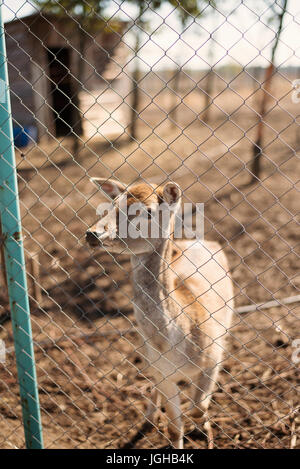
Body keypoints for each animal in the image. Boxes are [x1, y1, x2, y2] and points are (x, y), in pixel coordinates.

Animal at [86, 177, 234, 448]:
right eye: (112, 204)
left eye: (148, 212)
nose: (93, 233)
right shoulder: (163, 371)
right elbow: (175, 427)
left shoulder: (214, 358)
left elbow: (198, 407)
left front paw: (204, 430)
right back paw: (149, 417)